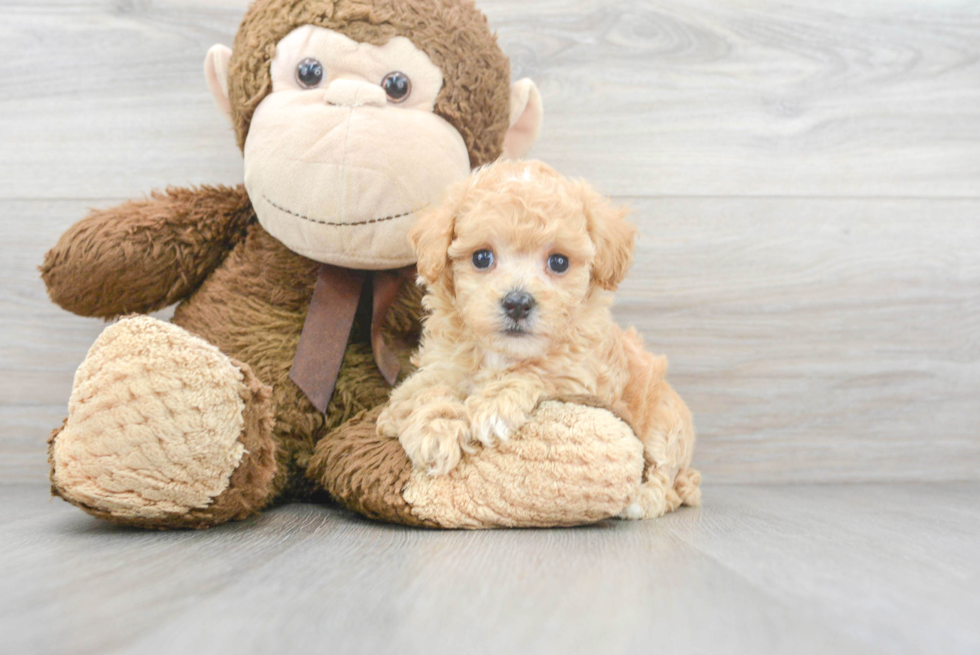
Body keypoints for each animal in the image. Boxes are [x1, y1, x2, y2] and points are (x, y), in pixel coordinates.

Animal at [378, 160, 704, 524]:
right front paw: (434, 430)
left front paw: (493, 405)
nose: (518, 302)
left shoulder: (580, 377)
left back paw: (643, 499)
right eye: (481, 258)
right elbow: (422, 392)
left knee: (667, 480)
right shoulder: (439, 366)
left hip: (666, 423)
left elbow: (538, 371)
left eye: (559, 262)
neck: (501, 354)